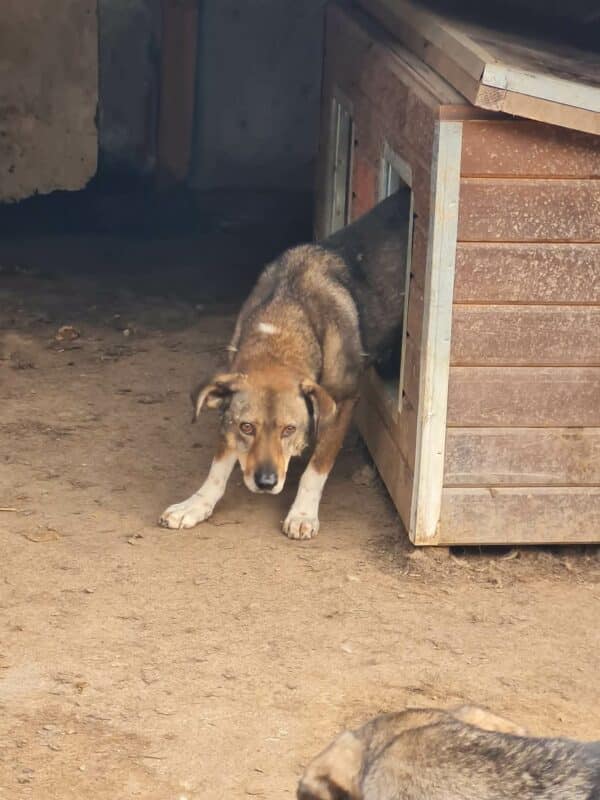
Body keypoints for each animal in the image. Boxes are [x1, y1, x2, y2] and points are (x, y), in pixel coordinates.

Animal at [161, 190, 412, 536]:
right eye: (247, 427)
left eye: (289, 429)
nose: (266, 482)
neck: (280, 334)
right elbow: (218, 466)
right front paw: (196, 505)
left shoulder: (342, 404)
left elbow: (316, 468)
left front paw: (303, 513)